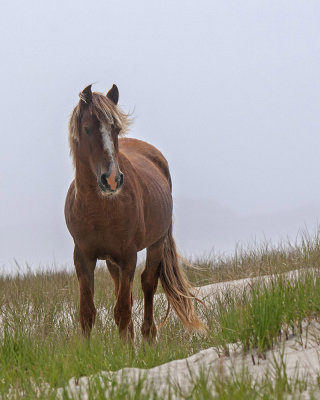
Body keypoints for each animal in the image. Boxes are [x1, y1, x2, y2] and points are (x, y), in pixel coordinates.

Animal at [64, 83, 205, 340]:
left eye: (116, 129)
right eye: (87, 129)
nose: (112, 179)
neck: (98, 209)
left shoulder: (128, 255)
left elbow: (122, 311)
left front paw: (127, 350)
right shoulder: (83, 256)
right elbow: (87, 312)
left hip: (156, 244)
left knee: (147, 283)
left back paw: (148, 335)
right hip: (112, 261)